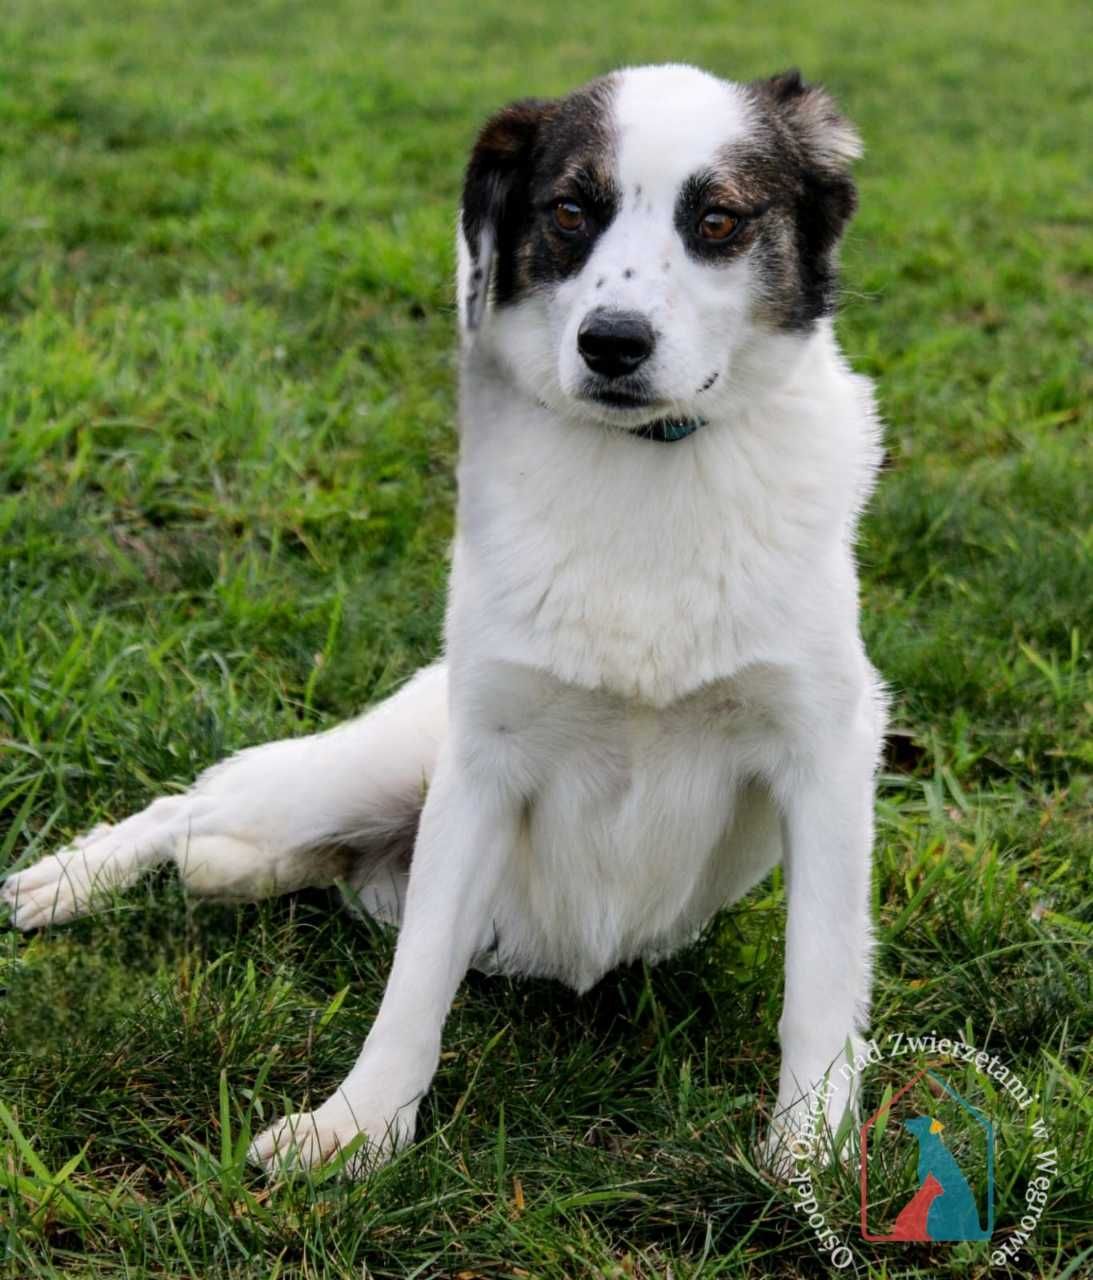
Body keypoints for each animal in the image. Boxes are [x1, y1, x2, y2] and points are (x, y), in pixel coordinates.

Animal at [2, 64, 890, 1172]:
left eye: (719, 220)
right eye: (569, 211)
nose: (611, 343)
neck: (643, 462)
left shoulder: (825, 755)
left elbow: (818, 975)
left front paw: (810, 1149)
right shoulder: (480, 764)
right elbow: (415, 983)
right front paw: (358, 1126)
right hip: (376, 766)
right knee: (187, 807)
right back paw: (60, 881)